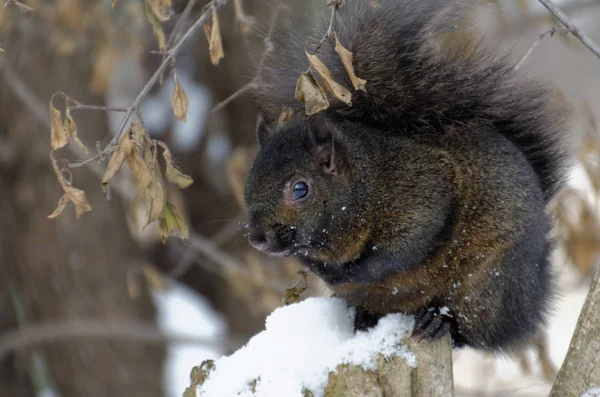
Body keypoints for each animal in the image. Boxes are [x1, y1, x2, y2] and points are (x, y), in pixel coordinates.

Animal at [241, 0, 568, 350]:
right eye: (248, 185)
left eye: (300, 189)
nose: (258, 239)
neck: (368, 179)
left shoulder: (424, 187)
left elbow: (408, 244)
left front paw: (356, 271)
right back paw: (366, 317)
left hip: (489, 290)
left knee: (471, 333)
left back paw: (440, 322)